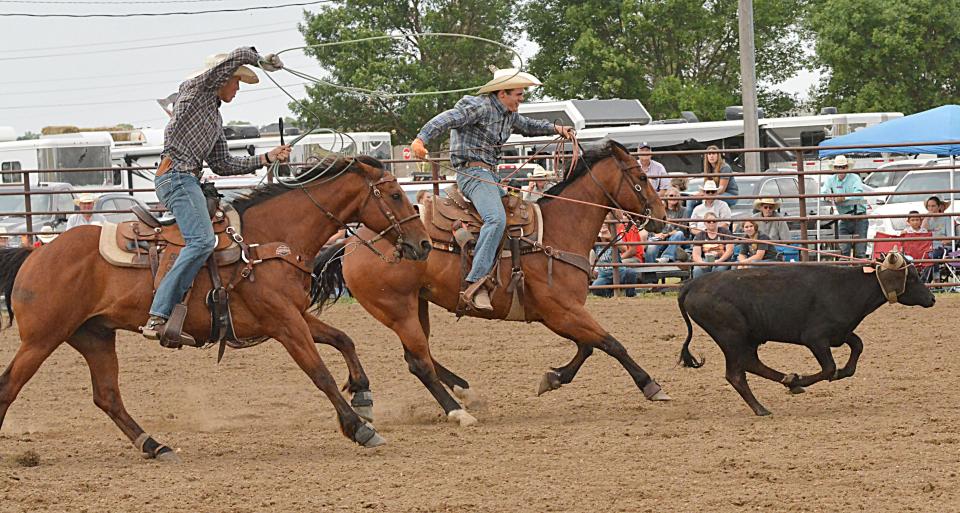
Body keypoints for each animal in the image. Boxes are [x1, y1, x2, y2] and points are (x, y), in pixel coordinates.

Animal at [0, 155, 432, 456]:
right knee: (9, 386)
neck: (265, 241)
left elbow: (343, 339)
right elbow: (319, 373)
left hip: (95, 336)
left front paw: (363, 397)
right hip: (42, 338)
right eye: (395, 195)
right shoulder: (285, 323)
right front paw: (359, 428)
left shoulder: (293, 316)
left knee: (107, 396)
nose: (424, 244)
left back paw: (155, 446)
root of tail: (35, 255)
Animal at [316, 139, 668, 424]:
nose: (662, 216)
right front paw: (651, 385)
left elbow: (589, 346)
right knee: (418, 362)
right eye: (641, 177)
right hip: (396, 308)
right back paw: (457, 411)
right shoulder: (561, 311)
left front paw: (553, 377)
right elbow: (610, 343)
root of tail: (350, 243)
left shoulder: (560, 314)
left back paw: (465, 392)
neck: (558, 231)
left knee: (422, 355)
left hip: (417, 304)